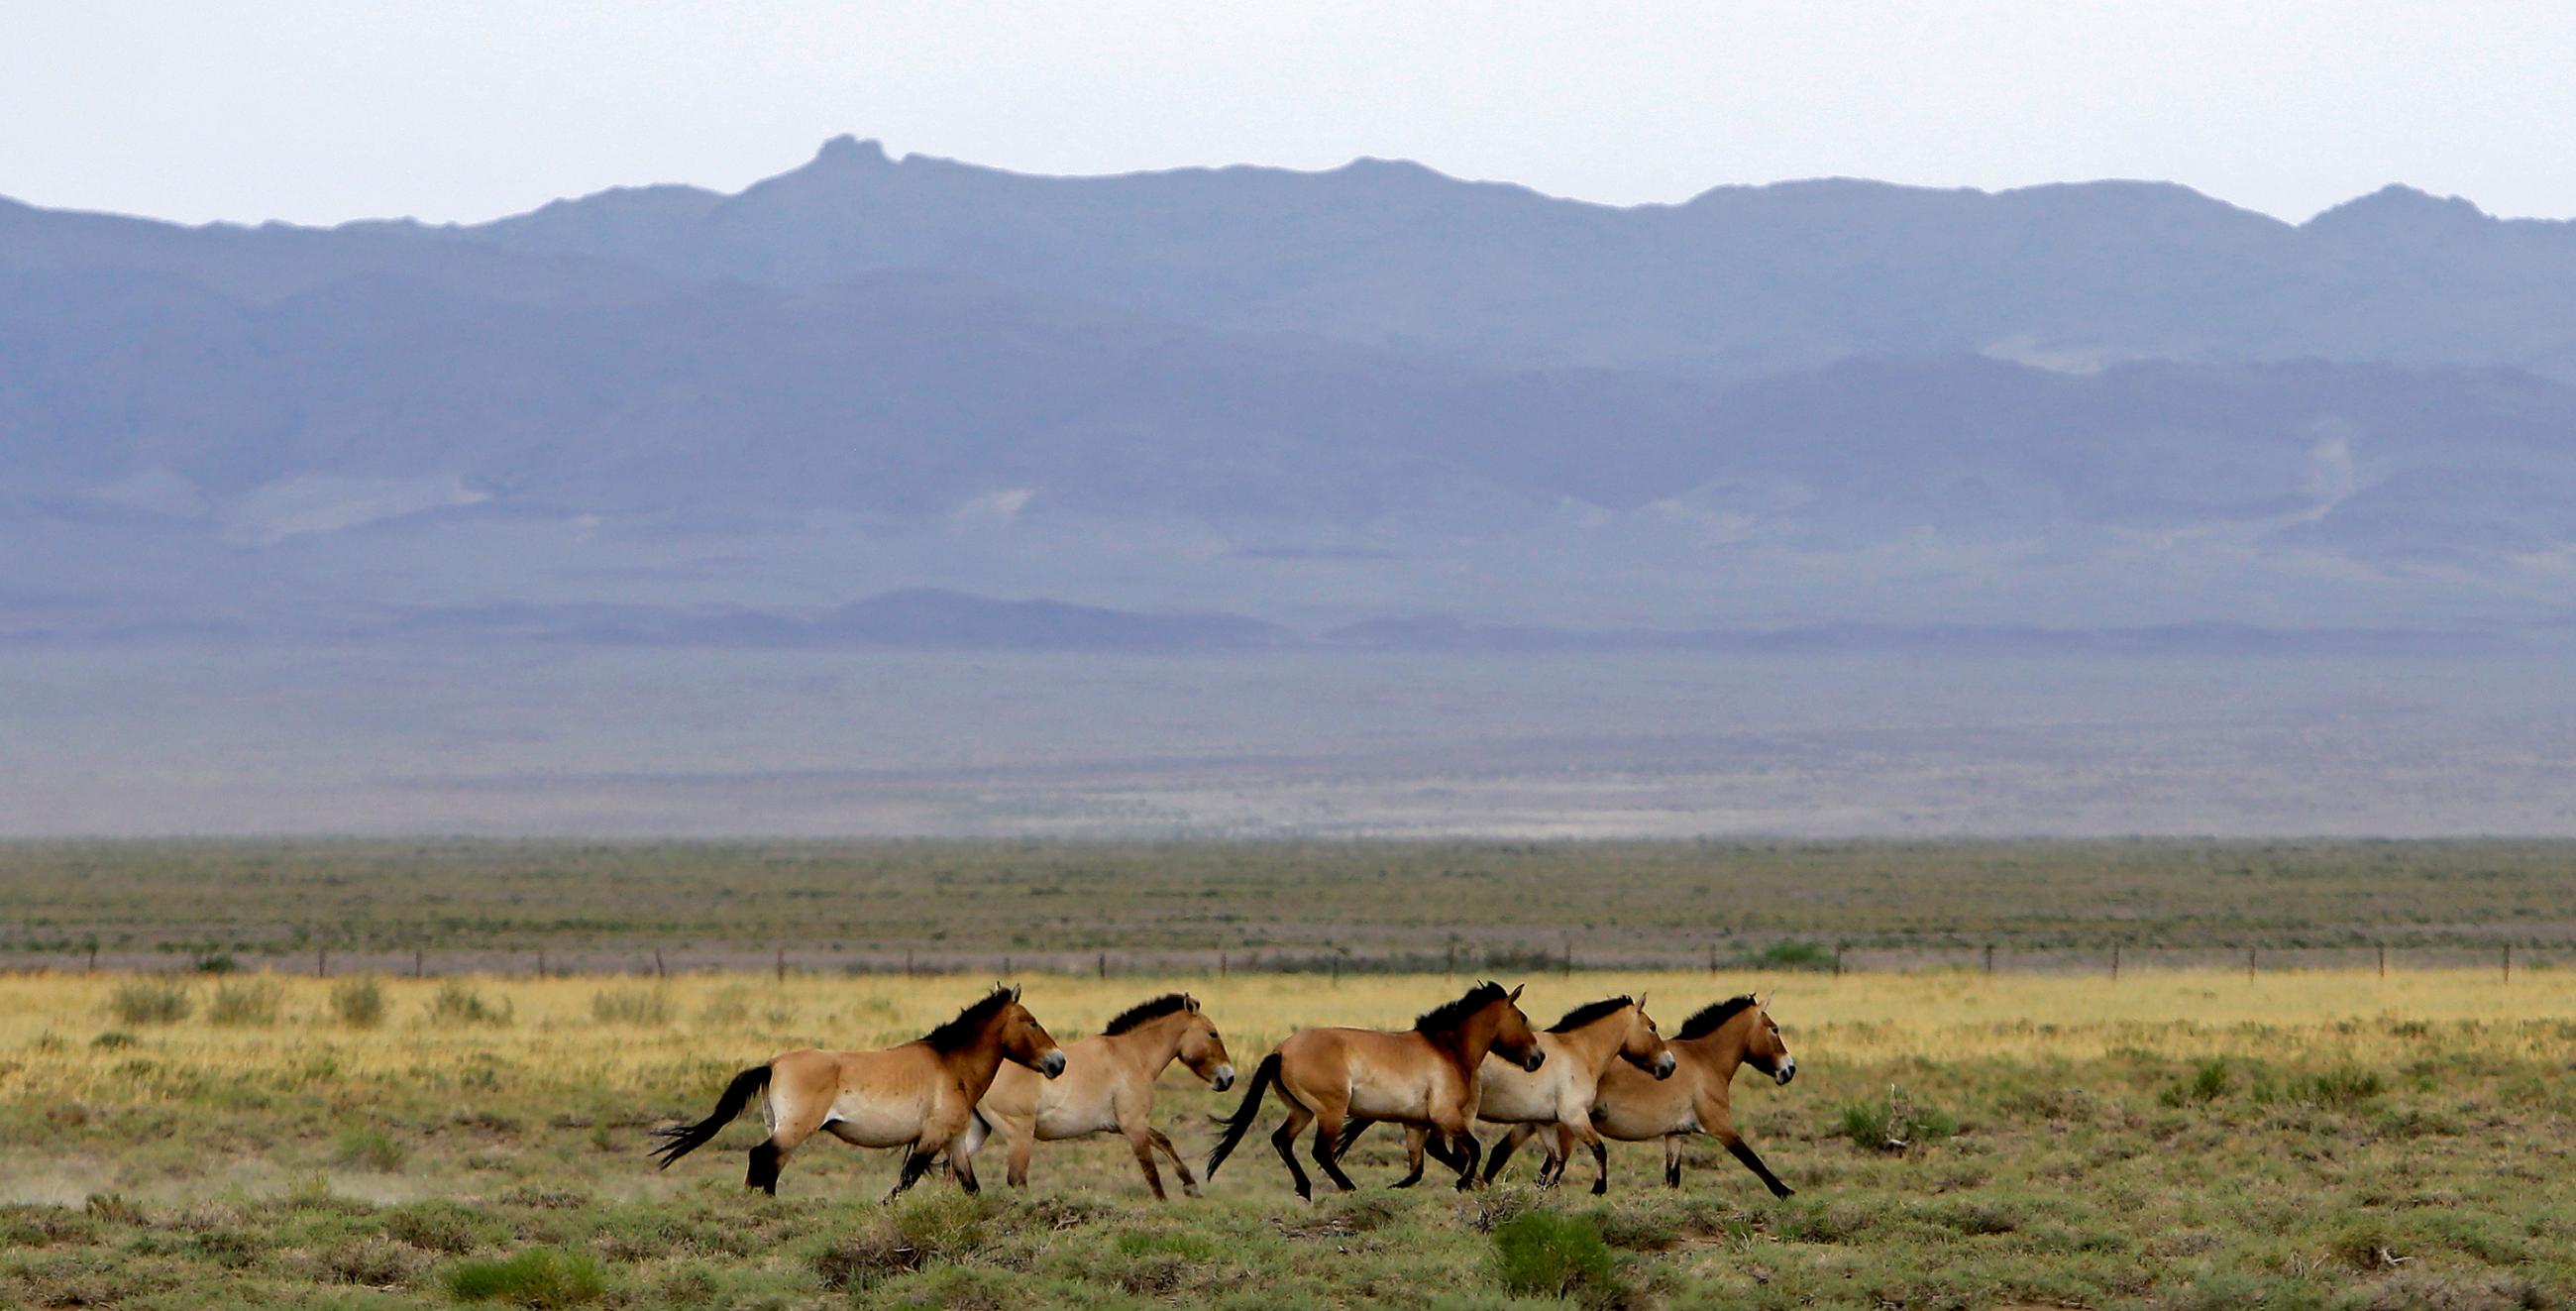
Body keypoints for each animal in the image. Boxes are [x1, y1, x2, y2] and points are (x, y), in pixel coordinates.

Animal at [649, 978, 1061, 1195]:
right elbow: (905, 1181)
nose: (1058, 1062)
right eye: (1032, 1021)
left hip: (780, 1127)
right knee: (763, 1158)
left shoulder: (954, 1141)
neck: (951, 1063)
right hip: (794, 1130)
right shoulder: (930, 1137)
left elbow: (969, 1185)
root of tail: (773, 1064)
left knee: (766, 1164)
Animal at [947, 989, 1236, 1195]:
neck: (1131, 1056)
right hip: (1019, 1135)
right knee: (1016, 1179)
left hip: (977, 1132)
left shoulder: (1122, 1124)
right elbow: (1151, 1172)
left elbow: (1164, 1141)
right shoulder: (1133, 1125)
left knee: (952, 1169)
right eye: (1212, 1033)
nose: (1228, 1077)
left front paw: (1191, 1185)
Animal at [1200, 973, 1535, 1195]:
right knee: (1320, 1151)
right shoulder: (1445, 1115)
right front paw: (1466, 1183)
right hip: (1330, 1111)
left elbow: (1421, 1165)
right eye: (1523, 1018)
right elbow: (1471, 1150)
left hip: (1301, 1110)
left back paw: (1305, 1189)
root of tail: (1281, 1051)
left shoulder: (1418, 1123)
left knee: (1282, 1139)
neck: (1447, 1049)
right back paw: (1348, 1187)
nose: (1538, 1057)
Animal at [1340, 989, 1679, 1195]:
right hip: (1461, 1112)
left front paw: (1545, 1187)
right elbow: (1598, 1149)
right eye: (1652, 1026)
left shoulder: (1542, 1120)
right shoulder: (1573, 1116)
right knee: (1448, 1148)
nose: (1669, 1065)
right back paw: (1468, 1181)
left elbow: (1550, 1159)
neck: (1579, 1051)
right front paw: (1598, 1188)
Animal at [1525, 989, 1792, 1195]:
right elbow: (1753, 1160)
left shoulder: (1675, 1135)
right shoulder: (1721, 1127)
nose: (1790, 1069)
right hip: (1569, 1130)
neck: (1704, 1058)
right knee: (1550, 1172)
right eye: (1775, 1029)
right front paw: (1784, 1192)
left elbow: (1672, 1178)